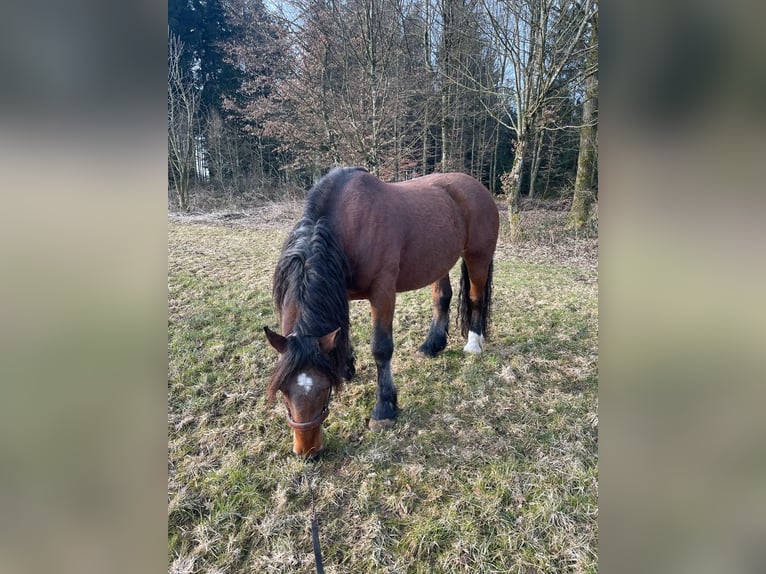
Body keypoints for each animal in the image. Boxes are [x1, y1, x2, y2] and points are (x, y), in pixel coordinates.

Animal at [264, 167, 499, 457]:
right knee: (442, 298)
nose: (307, 451)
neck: (346, 226)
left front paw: (384, 409)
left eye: (325, 388)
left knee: (476, 298)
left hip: (478, 256)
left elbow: (381, 348)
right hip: (439, 260)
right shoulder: (341, 290)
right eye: (283, 389)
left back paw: (473, 345)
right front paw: (346, 368)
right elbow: (342, 332)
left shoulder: (383, 292)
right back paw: (432, 345)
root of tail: (477, 187)